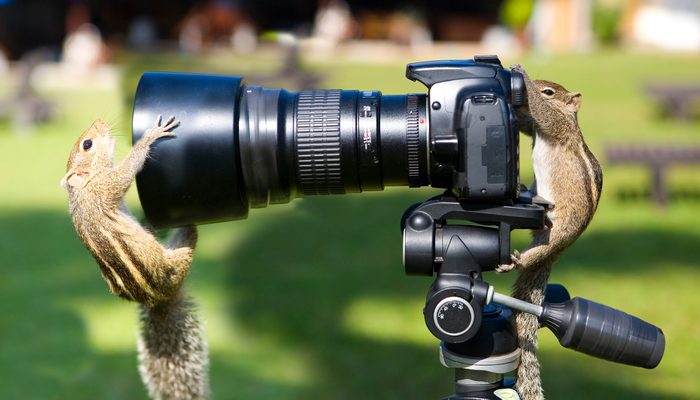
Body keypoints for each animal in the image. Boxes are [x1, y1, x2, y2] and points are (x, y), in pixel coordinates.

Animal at [61, 116, 209, 400]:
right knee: (189, 244)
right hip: (174, 265)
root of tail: (160, 300)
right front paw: (151, 136)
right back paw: (191, 227)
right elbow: (126, 170)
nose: (100, 120)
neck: (84, 189)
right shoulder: (107, 186)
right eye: (88, 144)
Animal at [496, 66, 603, 400]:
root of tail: (559, 251)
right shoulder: (537, 128)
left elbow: (542, 114)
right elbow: (529, 122)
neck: (571, 118)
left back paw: (514, 262)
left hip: (556, 235)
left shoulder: (556, 125)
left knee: (534, 255)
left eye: (549, 92)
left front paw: (521, 73)